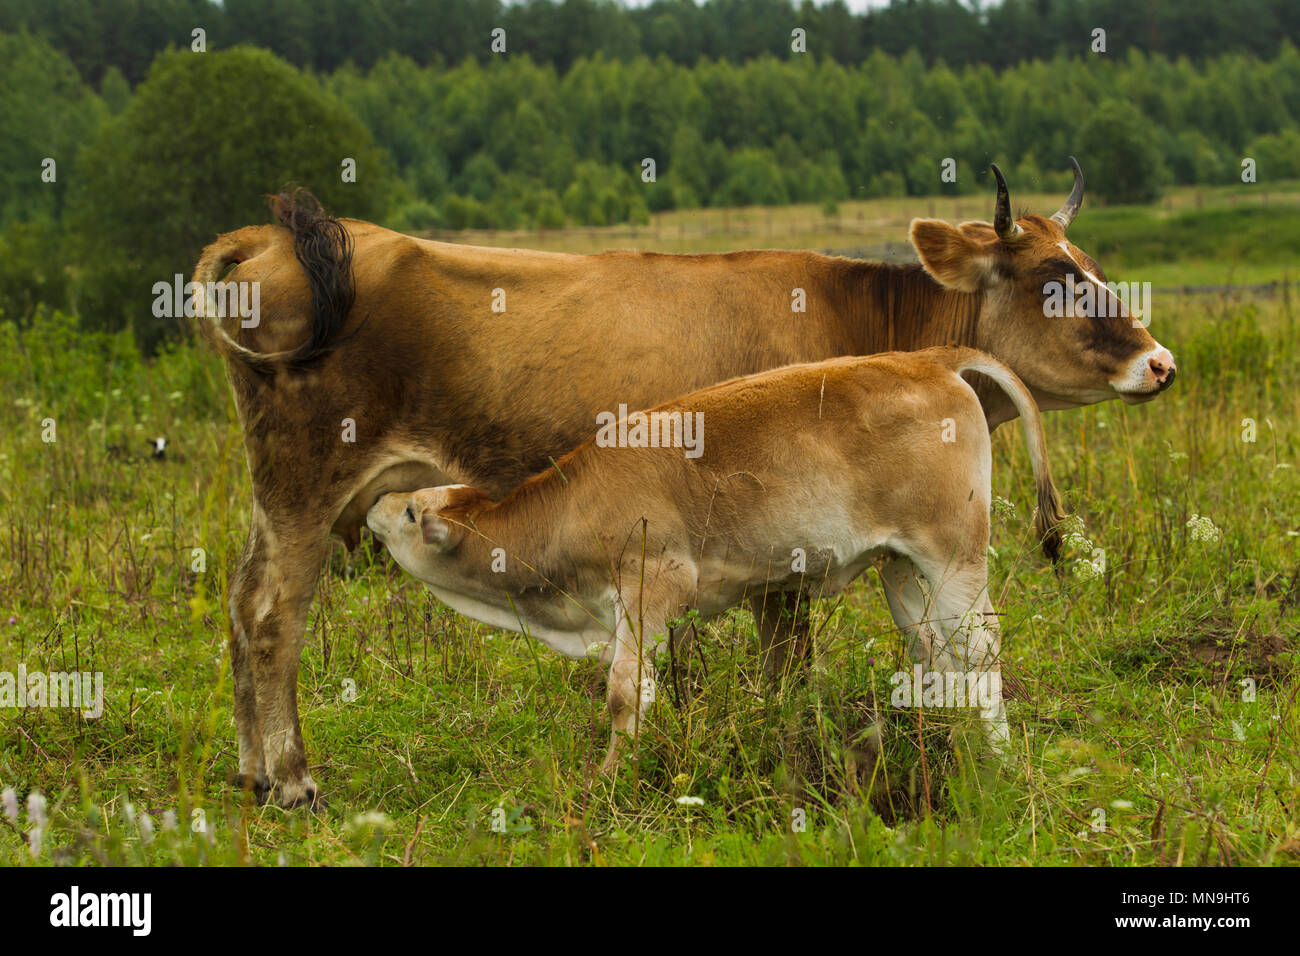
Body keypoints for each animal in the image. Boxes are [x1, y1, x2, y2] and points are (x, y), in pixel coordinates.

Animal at [192, 162, 1180, 806]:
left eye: (1090, 266)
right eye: (1055, 279)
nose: (1162, 363)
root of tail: (273, 237)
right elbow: (785, 661)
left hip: (276, 495)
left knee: (240, 605)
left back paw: (251, 771)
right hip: (306, 488)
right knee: (274, 616)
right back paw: (292, 780)